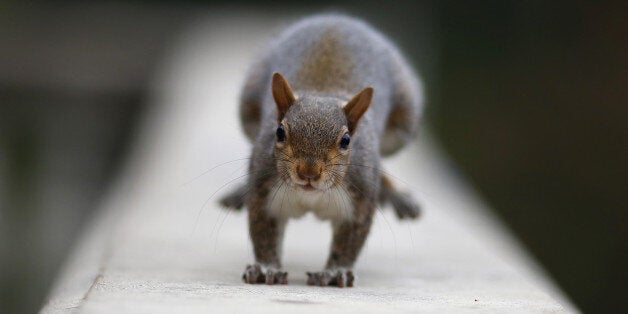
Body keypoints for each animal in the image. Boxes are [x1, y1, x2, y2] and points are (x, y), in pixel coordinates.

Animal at [218, 13, 424, 286]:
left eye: (346, 140)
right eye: (279, 132)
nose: (308, 173)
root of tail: (336, 18)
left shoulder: (359, 197)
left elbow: (349, 241)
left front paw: (335, 272)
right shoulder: (264, 189)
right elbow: (263, 232)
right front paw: (266, 268)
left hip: (402, 123)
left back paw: (397, 196)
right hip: (249, 109)